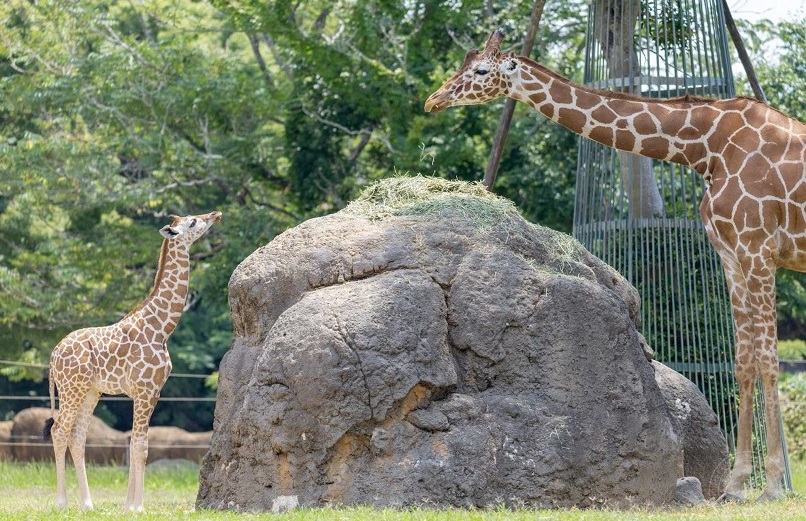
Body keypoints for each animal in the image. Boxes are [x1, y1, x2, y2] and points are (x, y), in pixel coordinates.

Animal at [43, 209, 221, 510]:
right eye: (194, 222)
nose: (215, 214)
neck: (161, 328)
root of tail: (54, 354)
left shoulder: (153, 391)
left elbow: (138, 445)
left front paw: (129, 505)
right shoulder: (145, 389)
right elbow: (139, 447)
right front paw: (137, 506)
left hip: (90, 392)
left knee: (77, 438)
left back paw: (87, 504)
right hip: (71, 389)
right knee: (59, 431)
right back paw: (62, 503)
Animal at [426, 28, 804, 500]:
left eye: (480, 70)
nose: (433, 100)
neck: (704, 146)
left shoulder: (758, 249)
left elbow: (769, 360)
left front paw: (771, 485)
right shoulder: (732, 254)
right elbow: (744, 360)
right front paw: (736, 484)